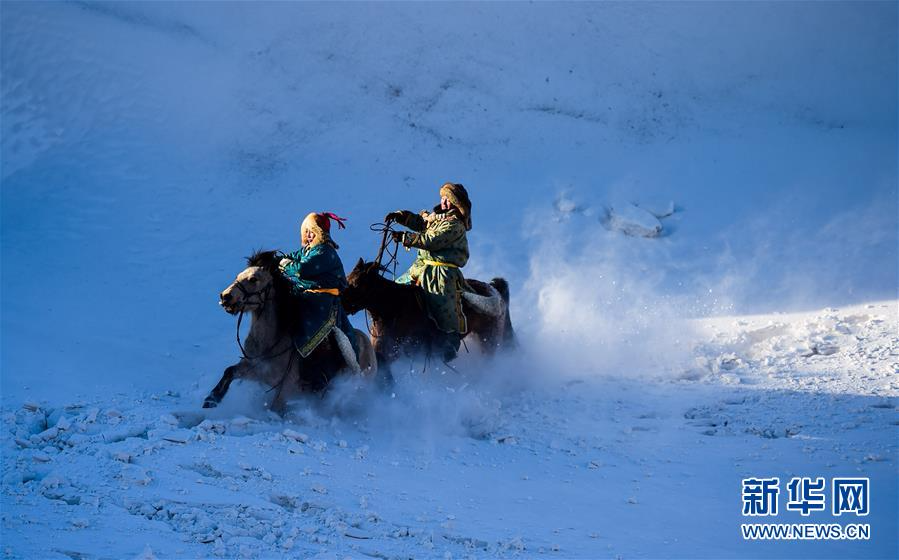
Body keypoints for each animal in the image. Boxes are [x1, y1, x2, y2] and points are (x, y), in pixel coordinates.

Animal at [204, 249, 376, 412]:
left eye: (254, 279)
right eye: (238, 275)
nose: (225, 297)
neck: (269, 344)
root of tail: (367, 342)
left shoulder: (286, 389)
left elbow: (274, 409)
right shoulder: (255, 370)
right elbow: (229, 371)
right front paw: (211, 399)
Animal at [342, 260, 516, 374]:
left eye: (357, 284)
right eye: (348, 277)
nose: (340, 303)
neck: (393, 308)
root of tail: (494, 290)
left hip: (488, 341)